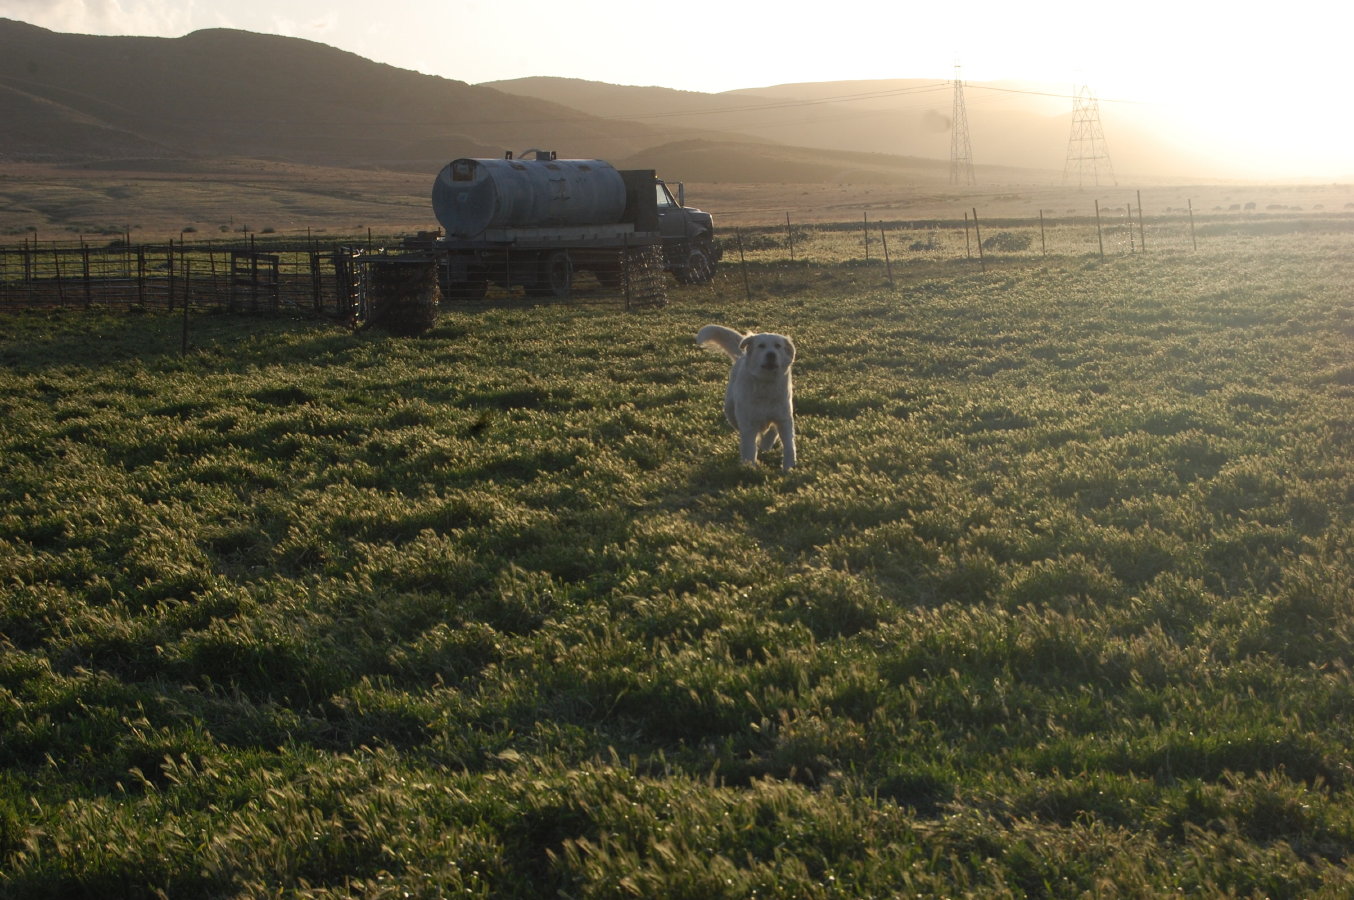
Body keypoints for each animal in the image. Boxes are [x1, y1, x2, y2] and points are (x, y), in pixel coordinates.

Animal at [696, 324, 797, 469]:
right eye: (761, 346)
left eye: (778, 346)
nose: (771, 354)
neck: (766, 383)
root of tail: (741, 356)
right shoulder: (749, 424)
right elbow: (749, 447)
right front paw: (749, 467)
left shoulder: (783, 418)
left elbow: (788, 444)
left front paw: (789, 467)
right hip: (730, 411)